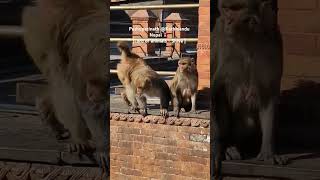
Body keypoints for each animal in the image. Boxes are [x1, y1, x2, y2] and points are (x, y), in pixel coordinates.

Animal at [212, 0, 284, 178]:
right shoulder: (220, 37)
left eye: (236, 9)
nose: (229, 22)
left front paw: (268, 152)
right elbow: (214, 90)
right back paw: (226, 147)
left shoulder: (274, 43)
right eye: (227, 10)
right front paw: (214, 150)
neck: (249, 37)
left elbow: (268, 94)